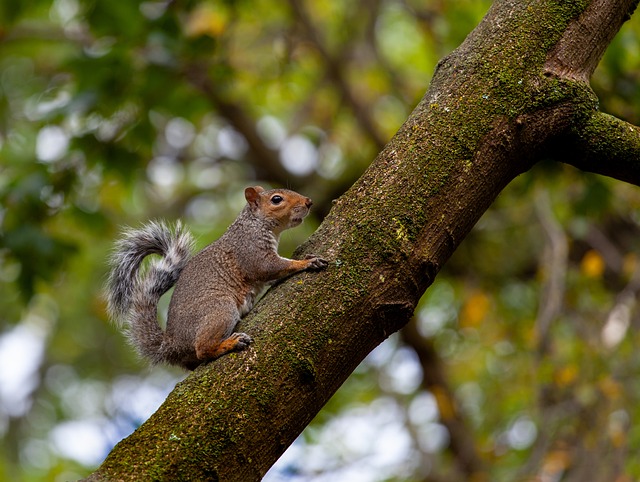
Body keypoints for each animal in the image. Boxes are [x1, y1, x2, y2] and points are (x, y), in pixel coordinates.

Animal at [105, 186, 328, 370]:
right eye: (276, 199)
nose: (308, 202)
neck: (255, 224)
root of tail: (172, 344)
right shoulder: (250, 251)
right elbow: (270, 268)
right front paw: (306, 262)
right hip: (220, 309)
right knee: (203, 349)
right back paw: (230, 343)